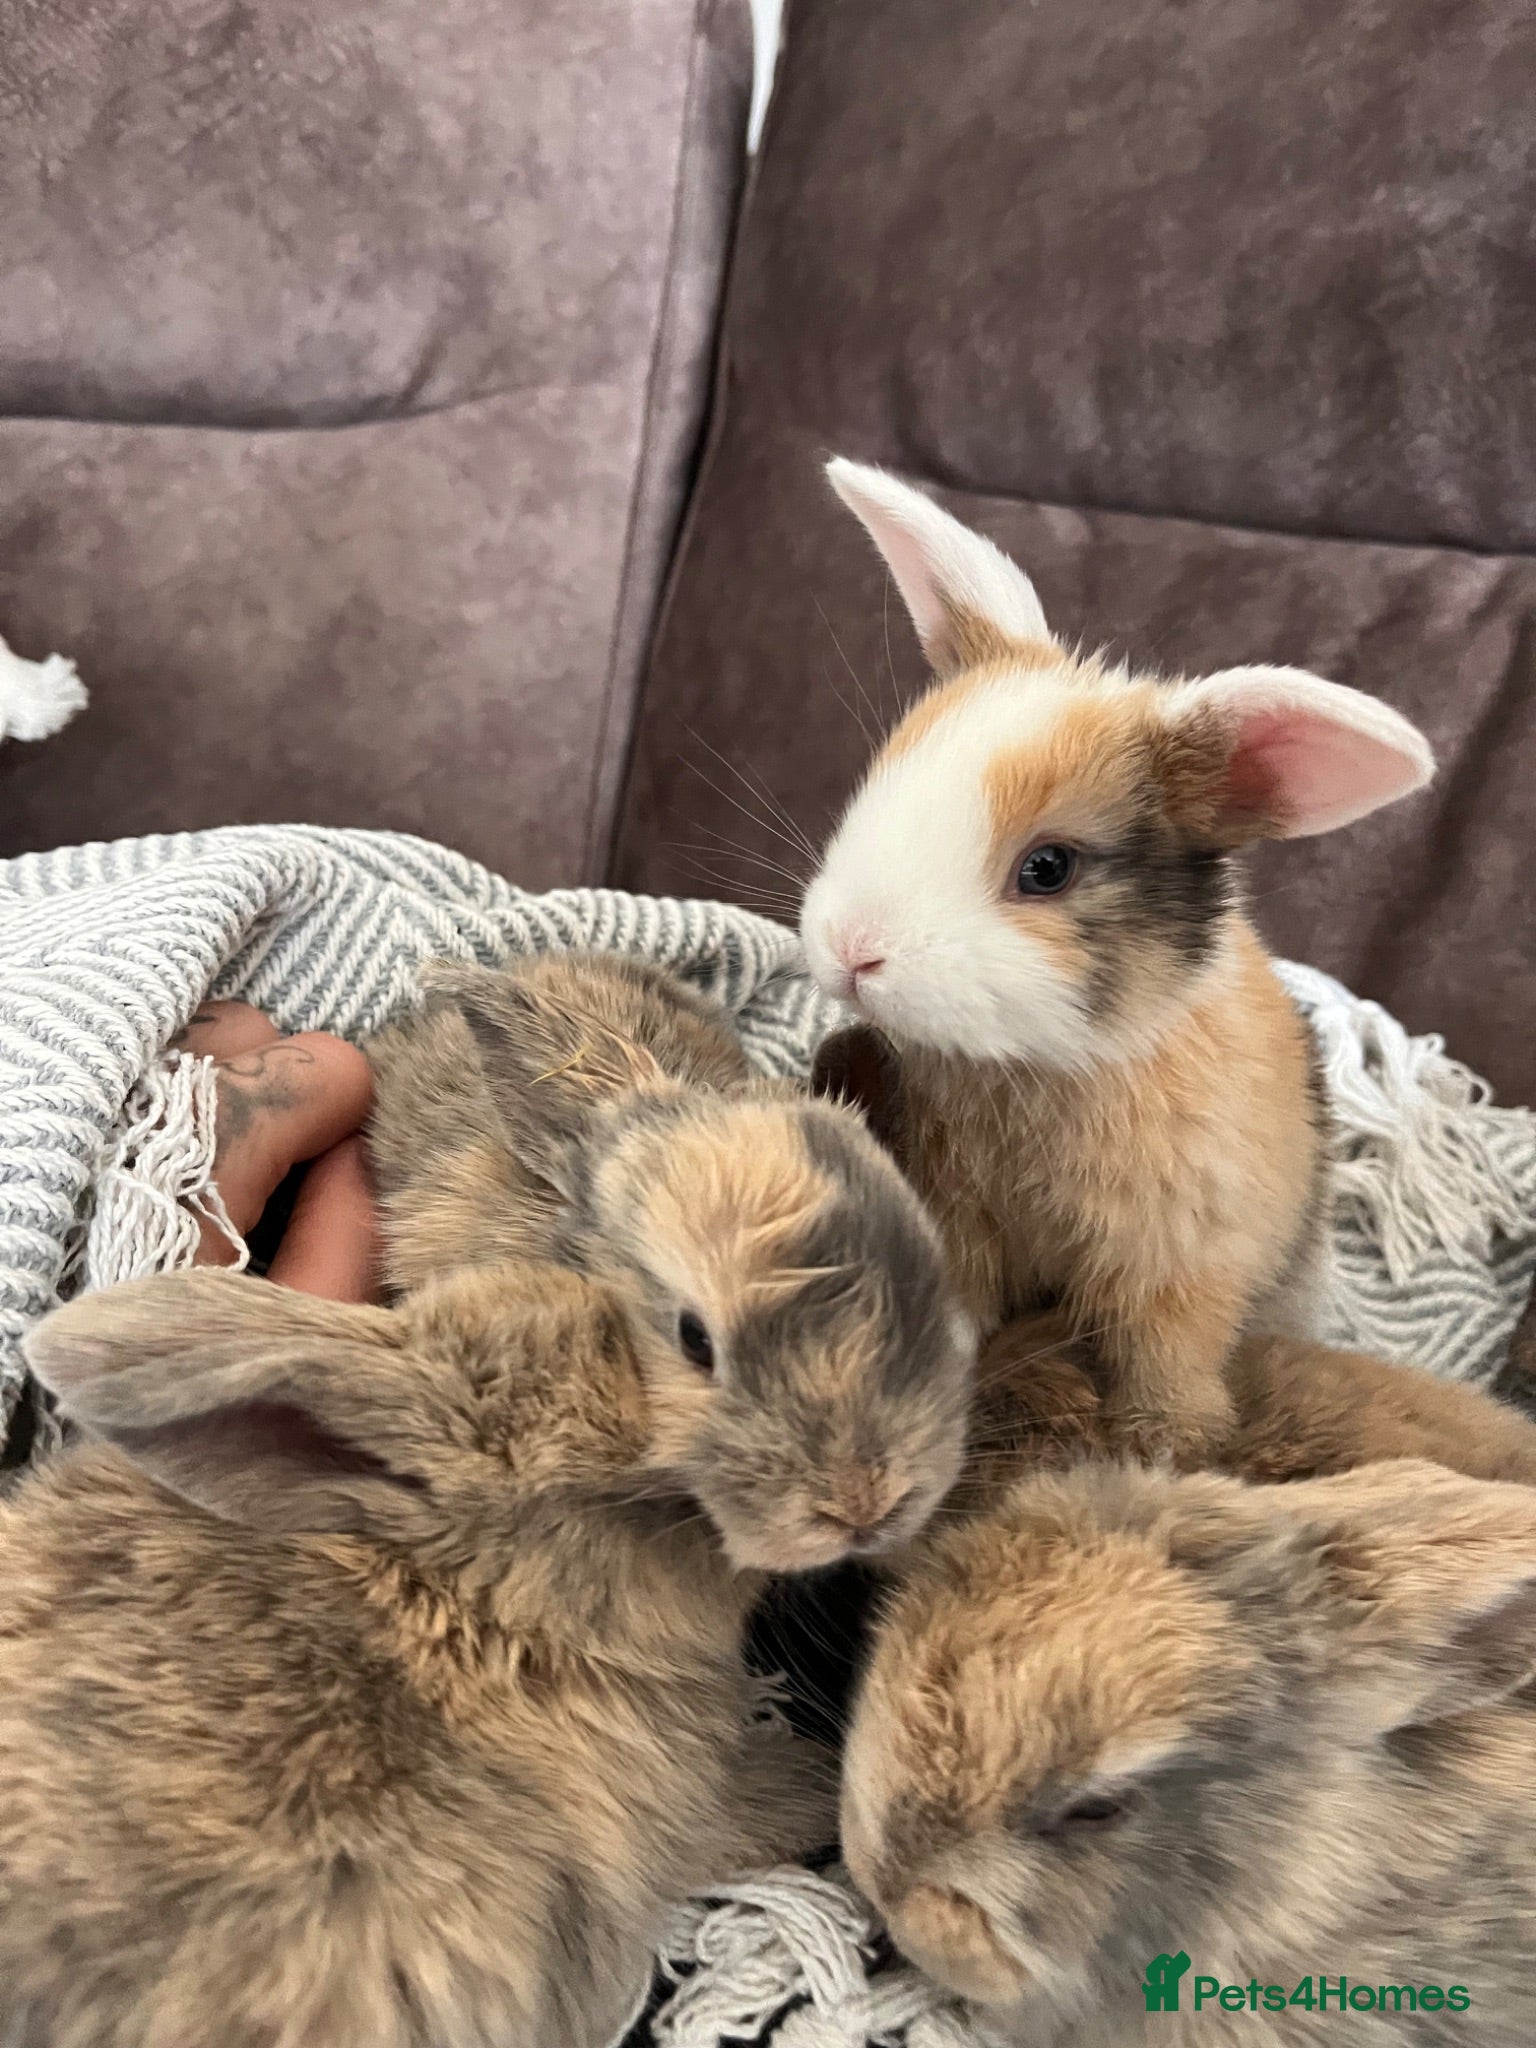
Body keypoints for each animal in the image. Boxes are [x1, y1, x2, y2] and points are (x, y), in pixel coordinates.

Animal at [799, 468, 1435, 1463]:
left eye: (1048, 868)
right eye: (884, 778)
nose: (849, 950)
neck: (1052, 1064)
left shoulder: (1180, 1272)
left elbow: (1164, 1363)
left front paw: (1167, 1445)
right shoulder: (960, 1220)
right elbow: (963, 1306)